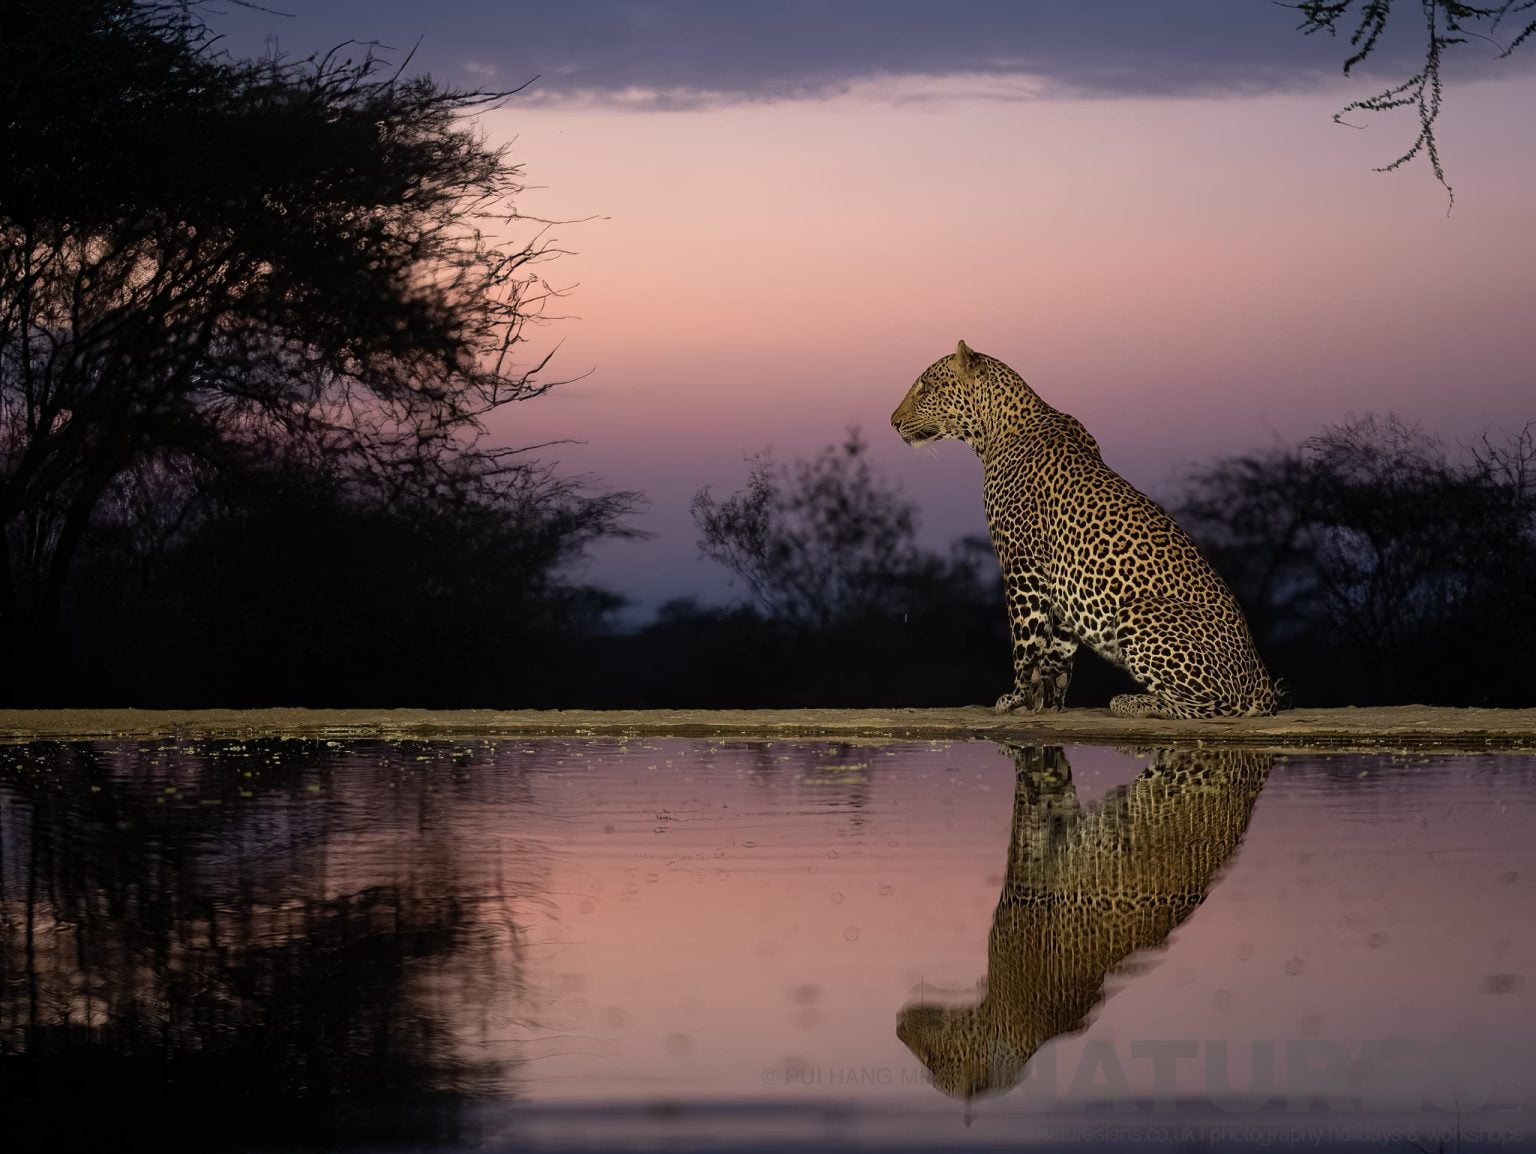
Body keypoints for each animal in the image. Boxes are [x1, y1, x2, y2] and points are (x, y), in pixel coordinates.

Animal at [891, 340, 1277, 719]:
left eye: (925, 388)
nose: (893, 422)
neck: (991, 433)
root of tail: (1263, 681)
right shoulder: (1057, 581)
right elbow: (1057, 649)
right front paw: (1048, 700)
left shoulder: (1022, 562)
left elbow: (1024, 638)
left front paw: (1015, 698)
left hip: (1140, 612)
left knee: (1217, 706)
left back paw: (1135, 703)